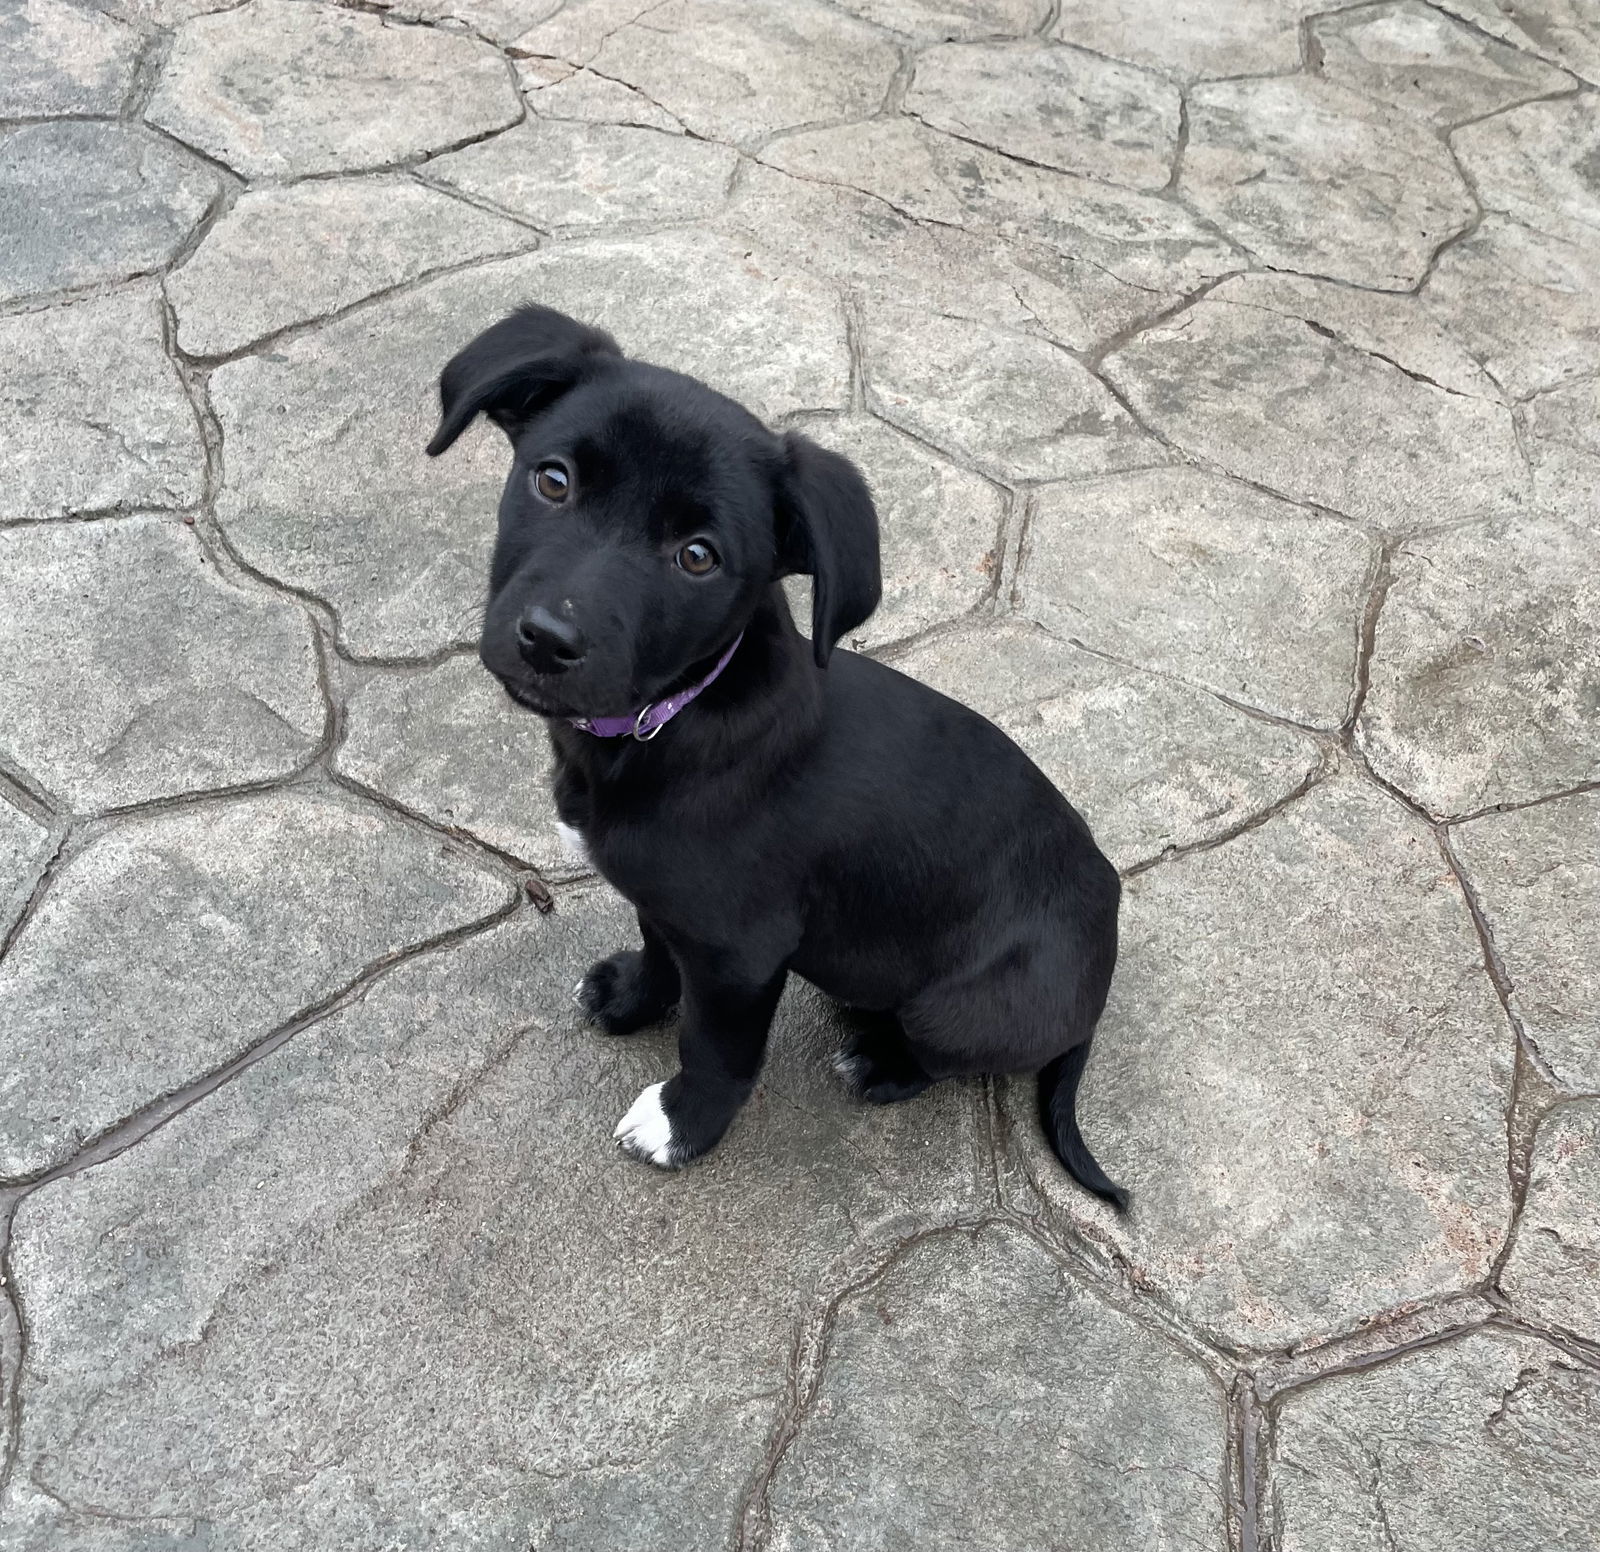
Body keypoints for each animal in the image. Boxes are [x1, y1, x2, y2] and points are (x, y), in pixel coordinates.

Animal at [425, 302, 1126, 1209]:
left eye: (698, 556)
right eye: (552, 481)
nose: (546, 640)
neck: (668, 721)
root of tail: (1101, 973)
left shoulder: (739, 955)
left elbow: (717, 1051)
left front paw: (682, 1126)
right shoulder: (671, 906)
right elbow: (659, 949)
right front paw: (632, 998)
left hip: (967, 1008)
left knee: (946, 1052)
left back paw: (882, 1062)